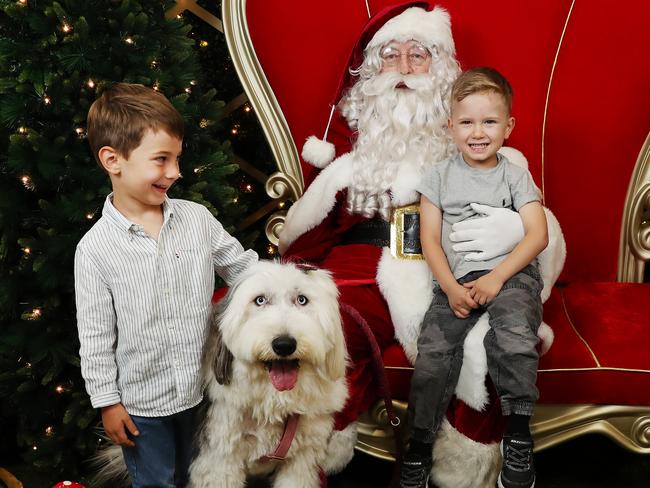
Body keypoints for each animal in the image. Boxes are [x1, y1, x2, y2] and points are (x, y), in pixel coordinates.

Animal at [187, 262, 346, 488]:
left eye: (302, 299)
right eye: (260, 300)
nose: (284, 344)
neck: (274, 401)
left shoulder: (302, 459)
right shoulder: (221, 458)